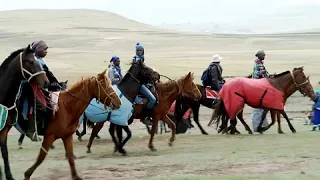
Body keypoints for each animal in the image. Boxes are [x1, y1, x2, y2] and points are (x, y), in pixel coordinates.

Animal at [0, 45, 49, 180]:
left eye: (39, 61)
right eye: (31, 62)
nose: (46, 82)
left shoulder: (4, 128)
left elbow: (4, 153)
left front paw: (8, 176)